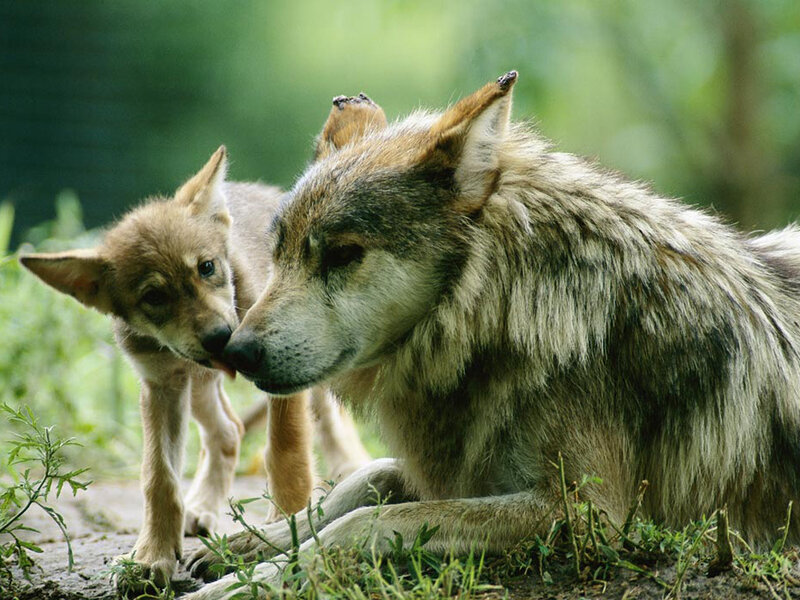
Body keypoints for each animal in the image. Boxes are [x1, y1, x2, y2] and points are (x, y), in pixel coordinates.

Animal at [20, 147, 369, 585]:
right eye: (153, 296)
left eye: (206, 267)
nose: (221, 338)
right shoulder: (161, 385)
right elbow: (159, 478)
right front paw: (151, 556)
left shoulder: (280, 374)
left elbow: (285, 450)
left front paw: (284, 524)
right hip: (199, 386)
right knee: (229, 431)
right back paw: (201, 506)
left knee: (330, 421)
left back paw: (353, 469)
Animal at [184, 71, 800, 598]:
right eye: (280, 253)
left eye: (342, 254)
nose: (236, 351)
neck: (511, 308)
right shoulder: (461, 466)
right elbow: (362, 484)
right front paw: (238, 550)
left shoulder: (587, 514)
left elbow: (364, 522)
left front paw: (247, 582)